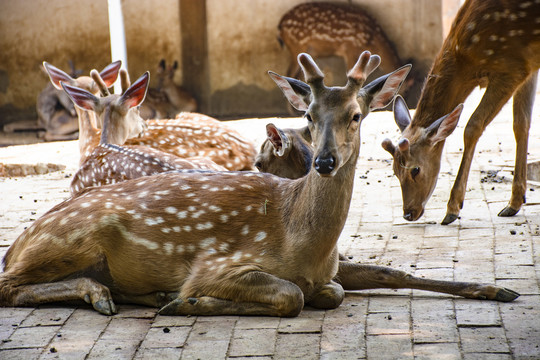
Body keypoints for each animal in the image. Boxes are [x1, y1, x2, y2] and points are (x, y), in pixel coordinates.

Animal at [0, 51, 516, 318]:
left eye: (356, 115)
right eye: (308, 117)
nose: (324, 161)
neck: (301, 240)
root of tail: (19, 241)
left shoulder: (330, 271)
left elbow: (358, 283)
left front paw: (499, 291)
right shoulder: (217, 263)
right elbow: (291, 296)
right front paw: (188, 301)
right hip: (73, 238)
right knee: (7, 285)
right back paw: (104, 294)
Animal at [380, 0, 540, 225]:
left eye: (415, 169)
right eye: (394, 170)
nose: (408, 213)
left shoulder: (512, 67)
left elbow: (473, 126)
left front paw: (452, 209)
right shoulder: (529, 65)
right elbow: (521, 124)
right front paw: (514, 203)